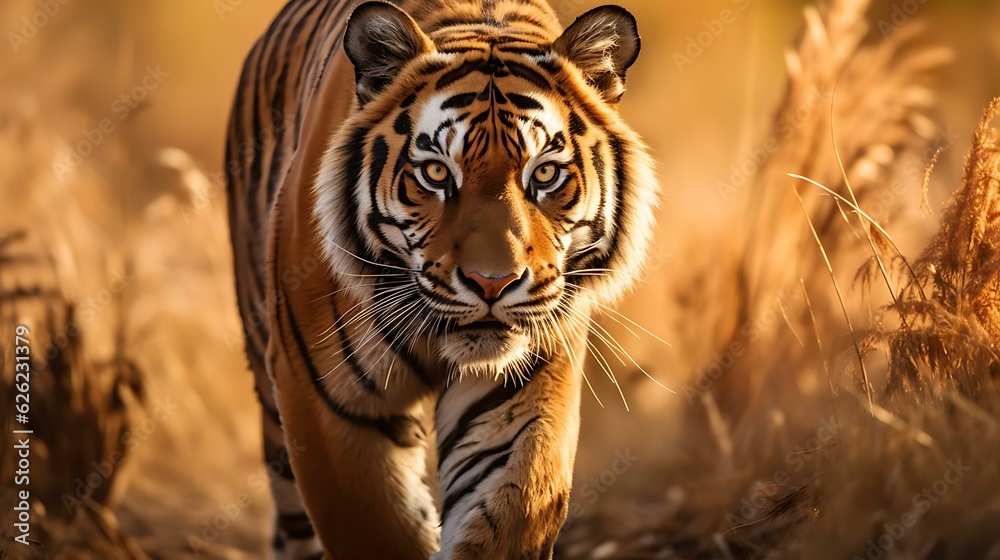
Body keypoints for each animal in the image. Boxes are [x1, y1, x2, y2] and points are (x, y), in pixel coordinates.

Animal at [224, 0, 657, 558]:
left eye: (544, 175)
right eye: (435, 174)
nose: (492, 283)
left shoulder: (523, 395)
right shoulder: (327, 403)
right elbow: (376, 529)